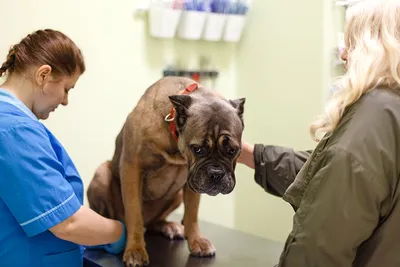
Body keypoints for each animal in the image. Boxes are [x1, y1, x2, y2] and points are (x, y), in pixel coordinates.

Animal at [86, 76, 245, 266]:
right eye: (197, 149)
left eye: (232, 150)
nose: (216, 173)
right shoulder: (132, 167)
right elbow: (134, 214)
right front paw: (135, 249)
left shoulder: (192, 184)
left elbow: (192, 214)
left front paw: (196, 241)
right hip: (102, 174)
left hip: (176, 195)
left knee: (155, 222)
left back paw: (169, 227)